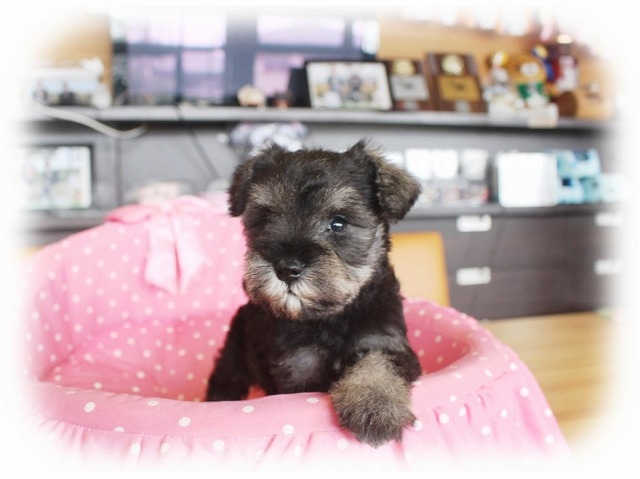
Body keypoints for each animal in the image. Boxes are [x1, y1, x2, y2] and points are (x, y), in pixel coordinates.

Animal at [205, 140, 422, 447]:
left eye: (338, 223)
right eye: (265, 218)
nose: (286, 268)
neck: (330, 318)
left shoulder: (385, 342)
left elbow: (376, 365)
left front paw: (375, 406)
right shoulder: (299, 366)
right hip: (234, 351)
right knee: (226, 379)